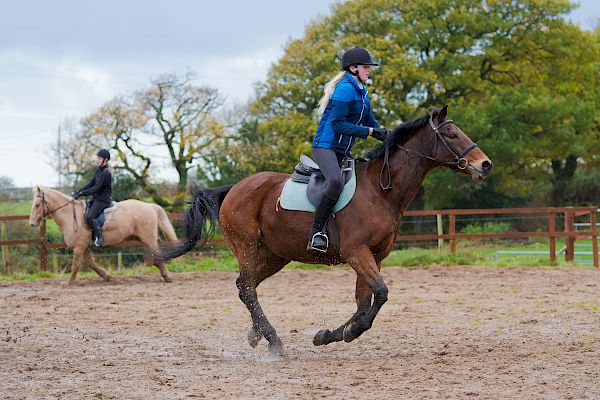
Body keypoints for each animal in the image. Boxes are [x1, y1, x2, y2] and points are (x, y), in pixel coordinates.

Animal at [29, 188, 177, 284]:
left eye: (37, 205)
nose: (32, 223)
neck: (70, 216)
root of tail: (149, 206)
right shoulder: (84, 247)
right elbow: (91, 264)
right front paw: (107, 277)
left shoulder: (79, 247)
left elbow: (75, 265)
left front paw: (69, 283)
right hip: (144, 239)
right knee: (156, 255)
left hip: (148, 238)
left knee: (158, 254)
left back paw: (167, 277)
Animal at [157, 105, 490, 354]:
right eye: (451, 134)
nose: (485, 164)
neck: (382, 191)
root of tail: (235, 188)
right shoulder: (357, 252)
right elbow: (380, 295)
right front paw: (349, 332)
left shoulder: (373, 256)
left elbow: (364, 302)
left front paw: (331, 334)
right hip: (247, 247)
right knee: (248, 289)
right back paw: (274, 341)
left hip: (276, 255)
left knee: (245, 286)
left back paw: (257, 335)